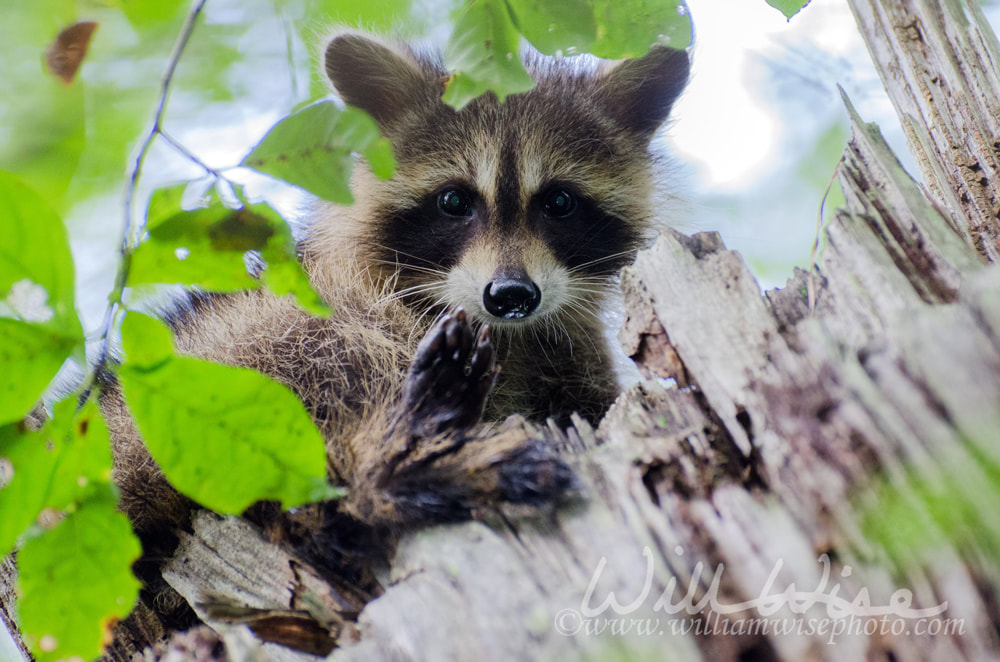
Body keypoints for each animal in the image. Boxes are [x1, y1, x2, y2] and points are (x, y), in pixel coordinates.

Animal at [105, 31, 692, 536]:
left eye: (560, 201)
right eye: (454, 200)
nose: (510, 296)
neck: (509, 337)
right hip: (227, 352)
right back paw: (399, 462)